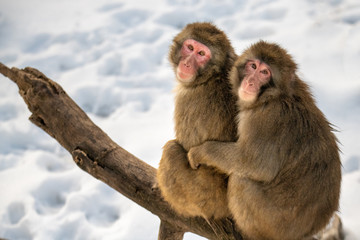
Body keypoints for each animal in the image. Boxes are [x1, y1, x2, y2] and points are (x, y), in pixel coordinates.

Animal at [156, 22, 238, 219]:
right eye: (190, 48)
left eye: (201, 54)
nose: (186, 64)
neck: (215, 75)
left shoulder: (187, 99)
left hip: (204, 200)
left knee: (171, 150)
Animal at [187, 40, 342, 239]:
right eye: (253, 66)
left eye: (264, 72)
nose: (250, 82)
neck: (275, 96)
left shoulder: (265, 119)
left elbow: (254, 163)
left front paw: (200, 152)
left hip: (273, 222)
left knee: (241, 180)